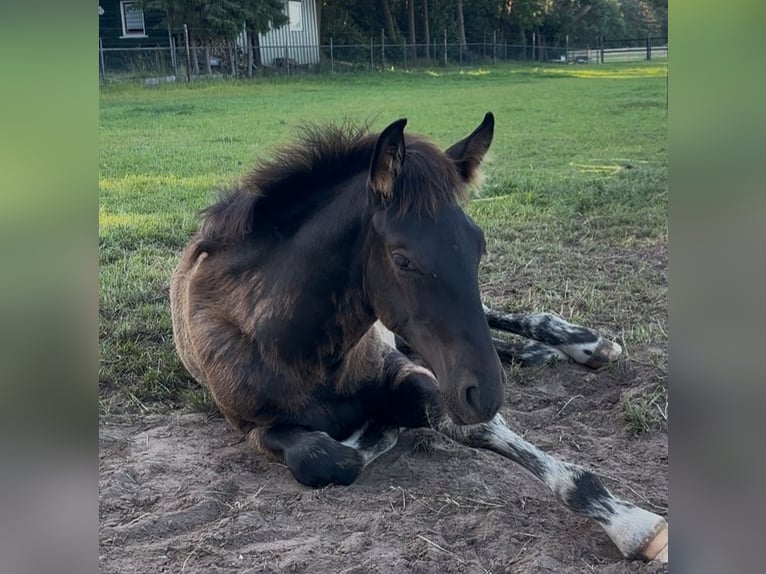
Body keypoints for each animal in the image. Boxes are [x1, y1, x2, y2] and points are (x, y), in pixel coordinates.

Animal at [169, 113, 668, 563]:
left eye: (478, 246)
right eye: (402, 259)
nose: (486, 393)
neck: (288, 344)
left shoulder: (414, 377)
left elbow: (475, 428)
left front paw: (633, 523)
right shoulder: (253, 426)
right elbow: (327, 459)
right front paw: (370, 433)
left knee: (501, 319)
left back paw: (581, 342)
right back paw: (535, 352)